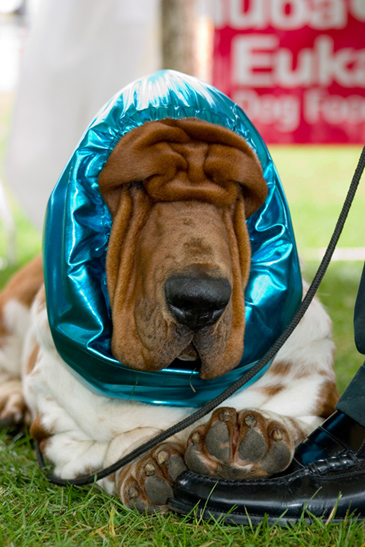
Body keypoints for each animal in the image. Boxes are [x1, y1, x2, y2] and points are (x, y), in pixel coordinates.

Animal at [0, 75, 338, 516]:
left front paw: (256, 437)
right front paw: (151, 462)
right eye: (136, 187)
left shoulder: (316, 391)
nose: (199, 301)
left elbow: (304, 423)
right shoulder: (58, 435)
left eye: (238, 193)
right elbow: (115, 445)